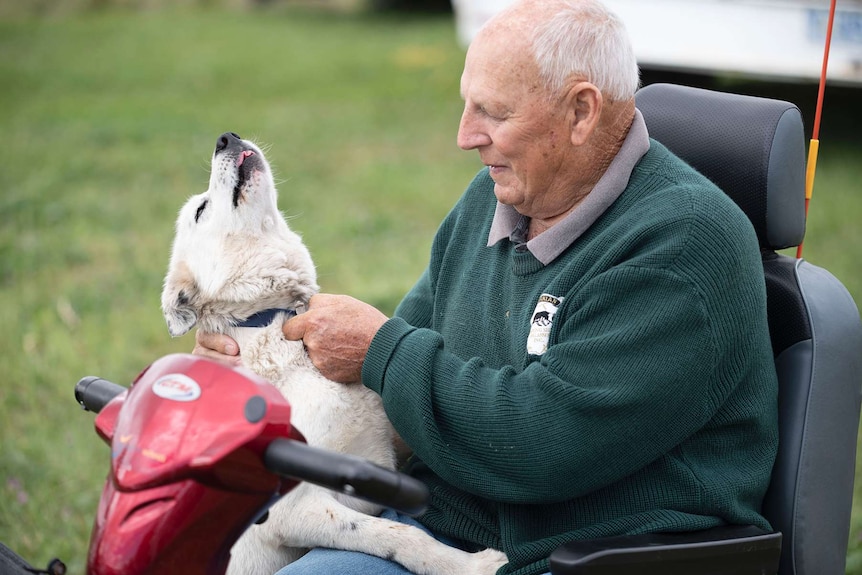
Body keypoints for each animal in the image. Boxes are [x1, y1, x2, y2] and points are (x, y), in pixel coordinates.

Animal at [162, 133, 510, 575]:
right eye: (201, 210)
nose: (227, 137)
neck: (276, 328)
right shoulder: (295, 509)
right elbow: (399, 534)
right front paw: (471, 565)